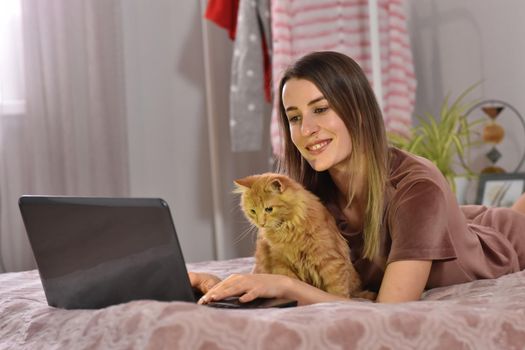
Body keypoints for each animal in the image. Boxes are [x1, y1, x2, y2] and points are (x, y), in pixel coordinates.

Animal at [233, 171, 372, 300]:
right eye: (252, 211)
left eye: (269, 209)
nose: (261, 223)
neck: (287, 230)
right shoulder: (281, 263)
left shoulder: (330, 260)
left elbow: (337, 291)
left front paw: (339, 300)